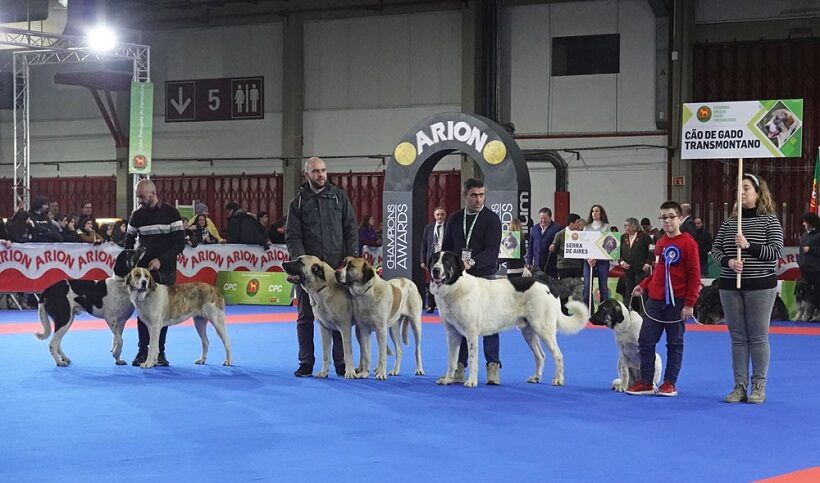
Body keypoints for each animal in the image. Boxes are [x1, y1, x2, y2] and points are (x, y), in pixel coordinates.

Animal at [430, 251, 588, 388]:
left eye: (446, 261)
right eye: (434, 260)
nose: (434, 270)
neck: (454, 286)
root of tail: (549, 286)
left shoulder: (471, 334)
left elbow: (473, 359)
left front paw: (471, 382)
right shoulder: (453, 334)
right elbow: (452, 360)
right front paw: (447, 379)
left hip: (544, 329)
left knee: (558, 355)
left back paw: (559, 380)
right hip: (529, 332)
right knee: (540, 355)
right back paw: (536, 377)